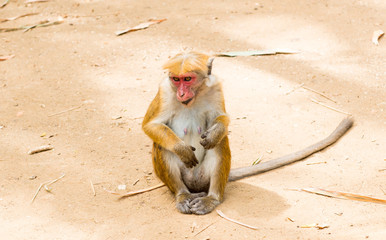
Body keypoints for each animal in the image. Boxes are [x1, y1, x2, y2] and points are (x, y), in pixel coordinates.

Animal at [142, 51, 352, 215]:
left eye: (187, 79)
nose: (181, 94)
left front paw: (216, 131)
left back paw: (212, 198)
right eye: (175, 79)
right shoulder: (165, 91)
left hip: (204, 177)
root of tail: (195, 186)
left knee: (220, 143)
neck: (194, 98)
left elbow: (222, 119)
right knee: (162, 144)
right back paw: (183, 195)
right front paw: (182, 149)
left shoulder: (216, 87)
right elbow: (151, 126)